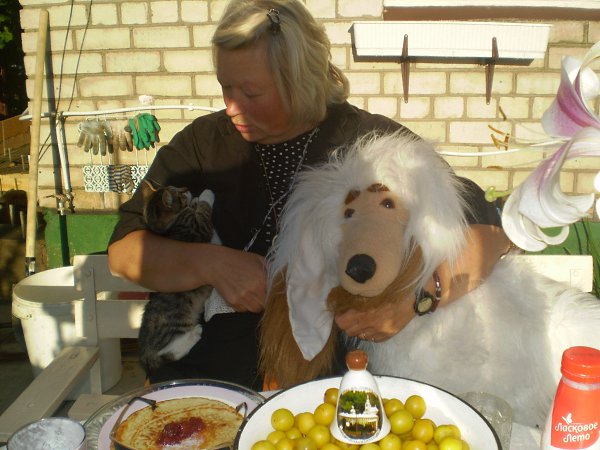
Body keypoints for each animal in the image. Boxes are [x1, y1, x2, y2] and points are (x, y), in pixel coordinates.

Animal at [137, 180, 218, 373]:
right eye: (178, 193)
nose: (186, 189)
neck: (170, 228)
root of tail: (144, 354)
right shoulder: (199, 229)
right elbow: (204, 211)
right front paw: (205, 195)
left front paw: (196, 199)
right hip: (172, 325)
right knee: (167, 353)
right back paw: (195, 333)